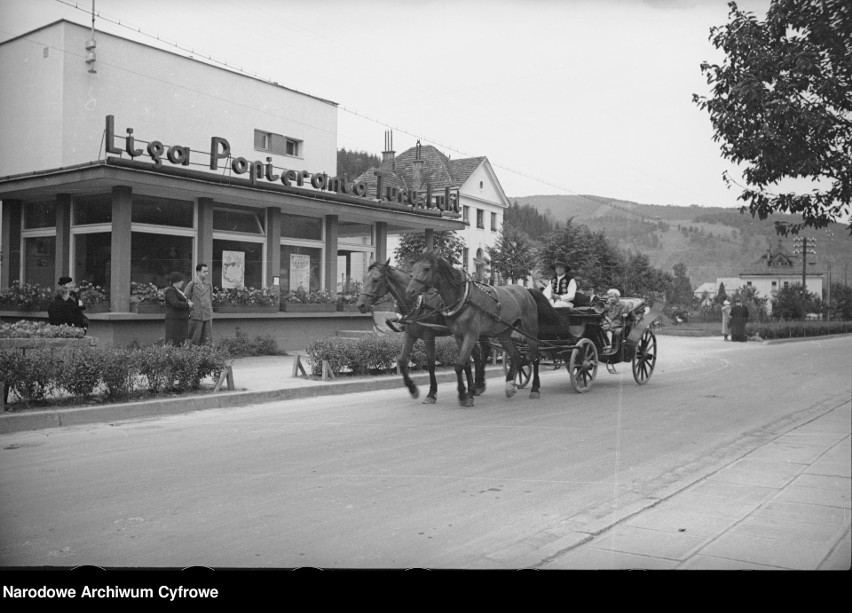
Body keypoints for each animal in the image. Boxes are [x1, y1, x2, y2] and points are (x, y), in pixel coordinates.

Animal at [352, 260, 486, 404]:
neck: (417, 304)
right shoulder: (410, 335)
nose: (360, 305)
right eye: (365, 279)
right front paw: (412, 389)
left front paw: (431, 393)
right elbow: (402, 361)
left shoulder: (429, 336)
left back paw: (476, 387)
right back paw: (475, 387)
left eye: (375, 280)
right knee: (475, 355)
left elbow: (431, 363)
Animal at [404, 250, 540, 406]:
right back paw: (510, 386)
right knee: (516, 356)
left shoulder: (471, 335)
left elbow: (459, 365)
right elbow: (465, 365)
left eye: (426, 268)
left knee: (535, 358)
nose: (409, 291)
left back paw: (535, 389)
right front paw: (468, 393)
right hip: (503, 333)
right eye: (412, 269)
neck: (463, 298)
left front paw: (464, 394)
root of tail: (526, 291)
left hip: (530, 331)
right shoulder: (458, 336)